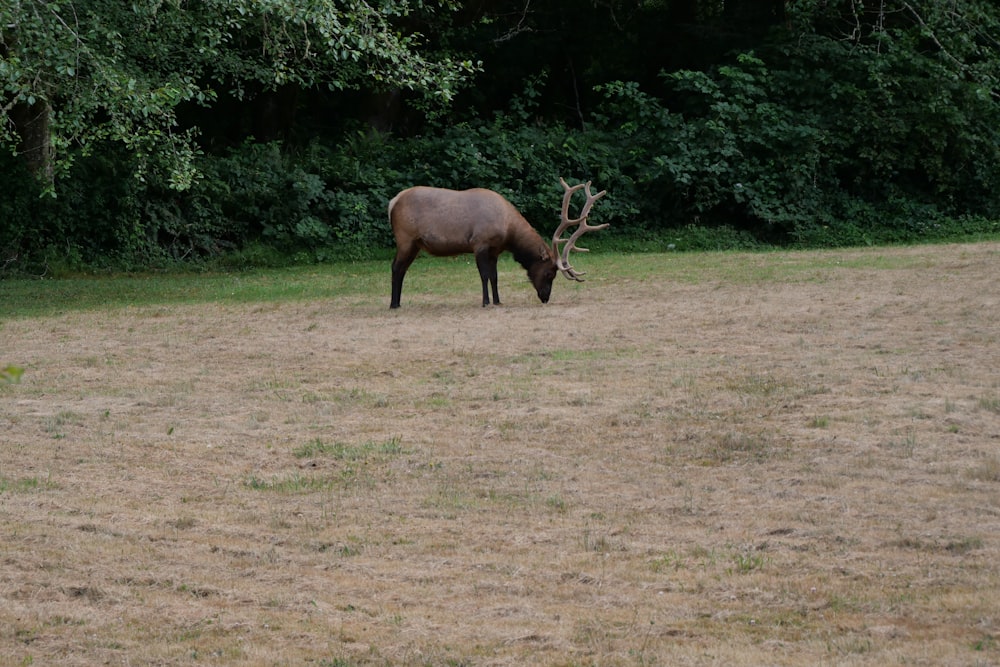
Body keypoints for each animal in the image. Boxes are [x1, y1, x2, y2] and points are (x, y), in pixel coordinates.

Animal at [388, 177, 608, 308]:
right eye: (549, 273)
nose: (545, 297)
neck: (508, 231)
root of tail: (392, 202)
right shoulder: (479, 243)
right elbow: (484, 275)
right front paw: (486, 302)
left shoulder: (495, 250)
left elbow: (494, 277)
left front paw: (498, 301)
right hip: (405, 238)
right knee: (396, 267)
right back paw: (393, 304)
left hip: (415, 244)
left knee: (402, 269)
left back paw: (398, 302)